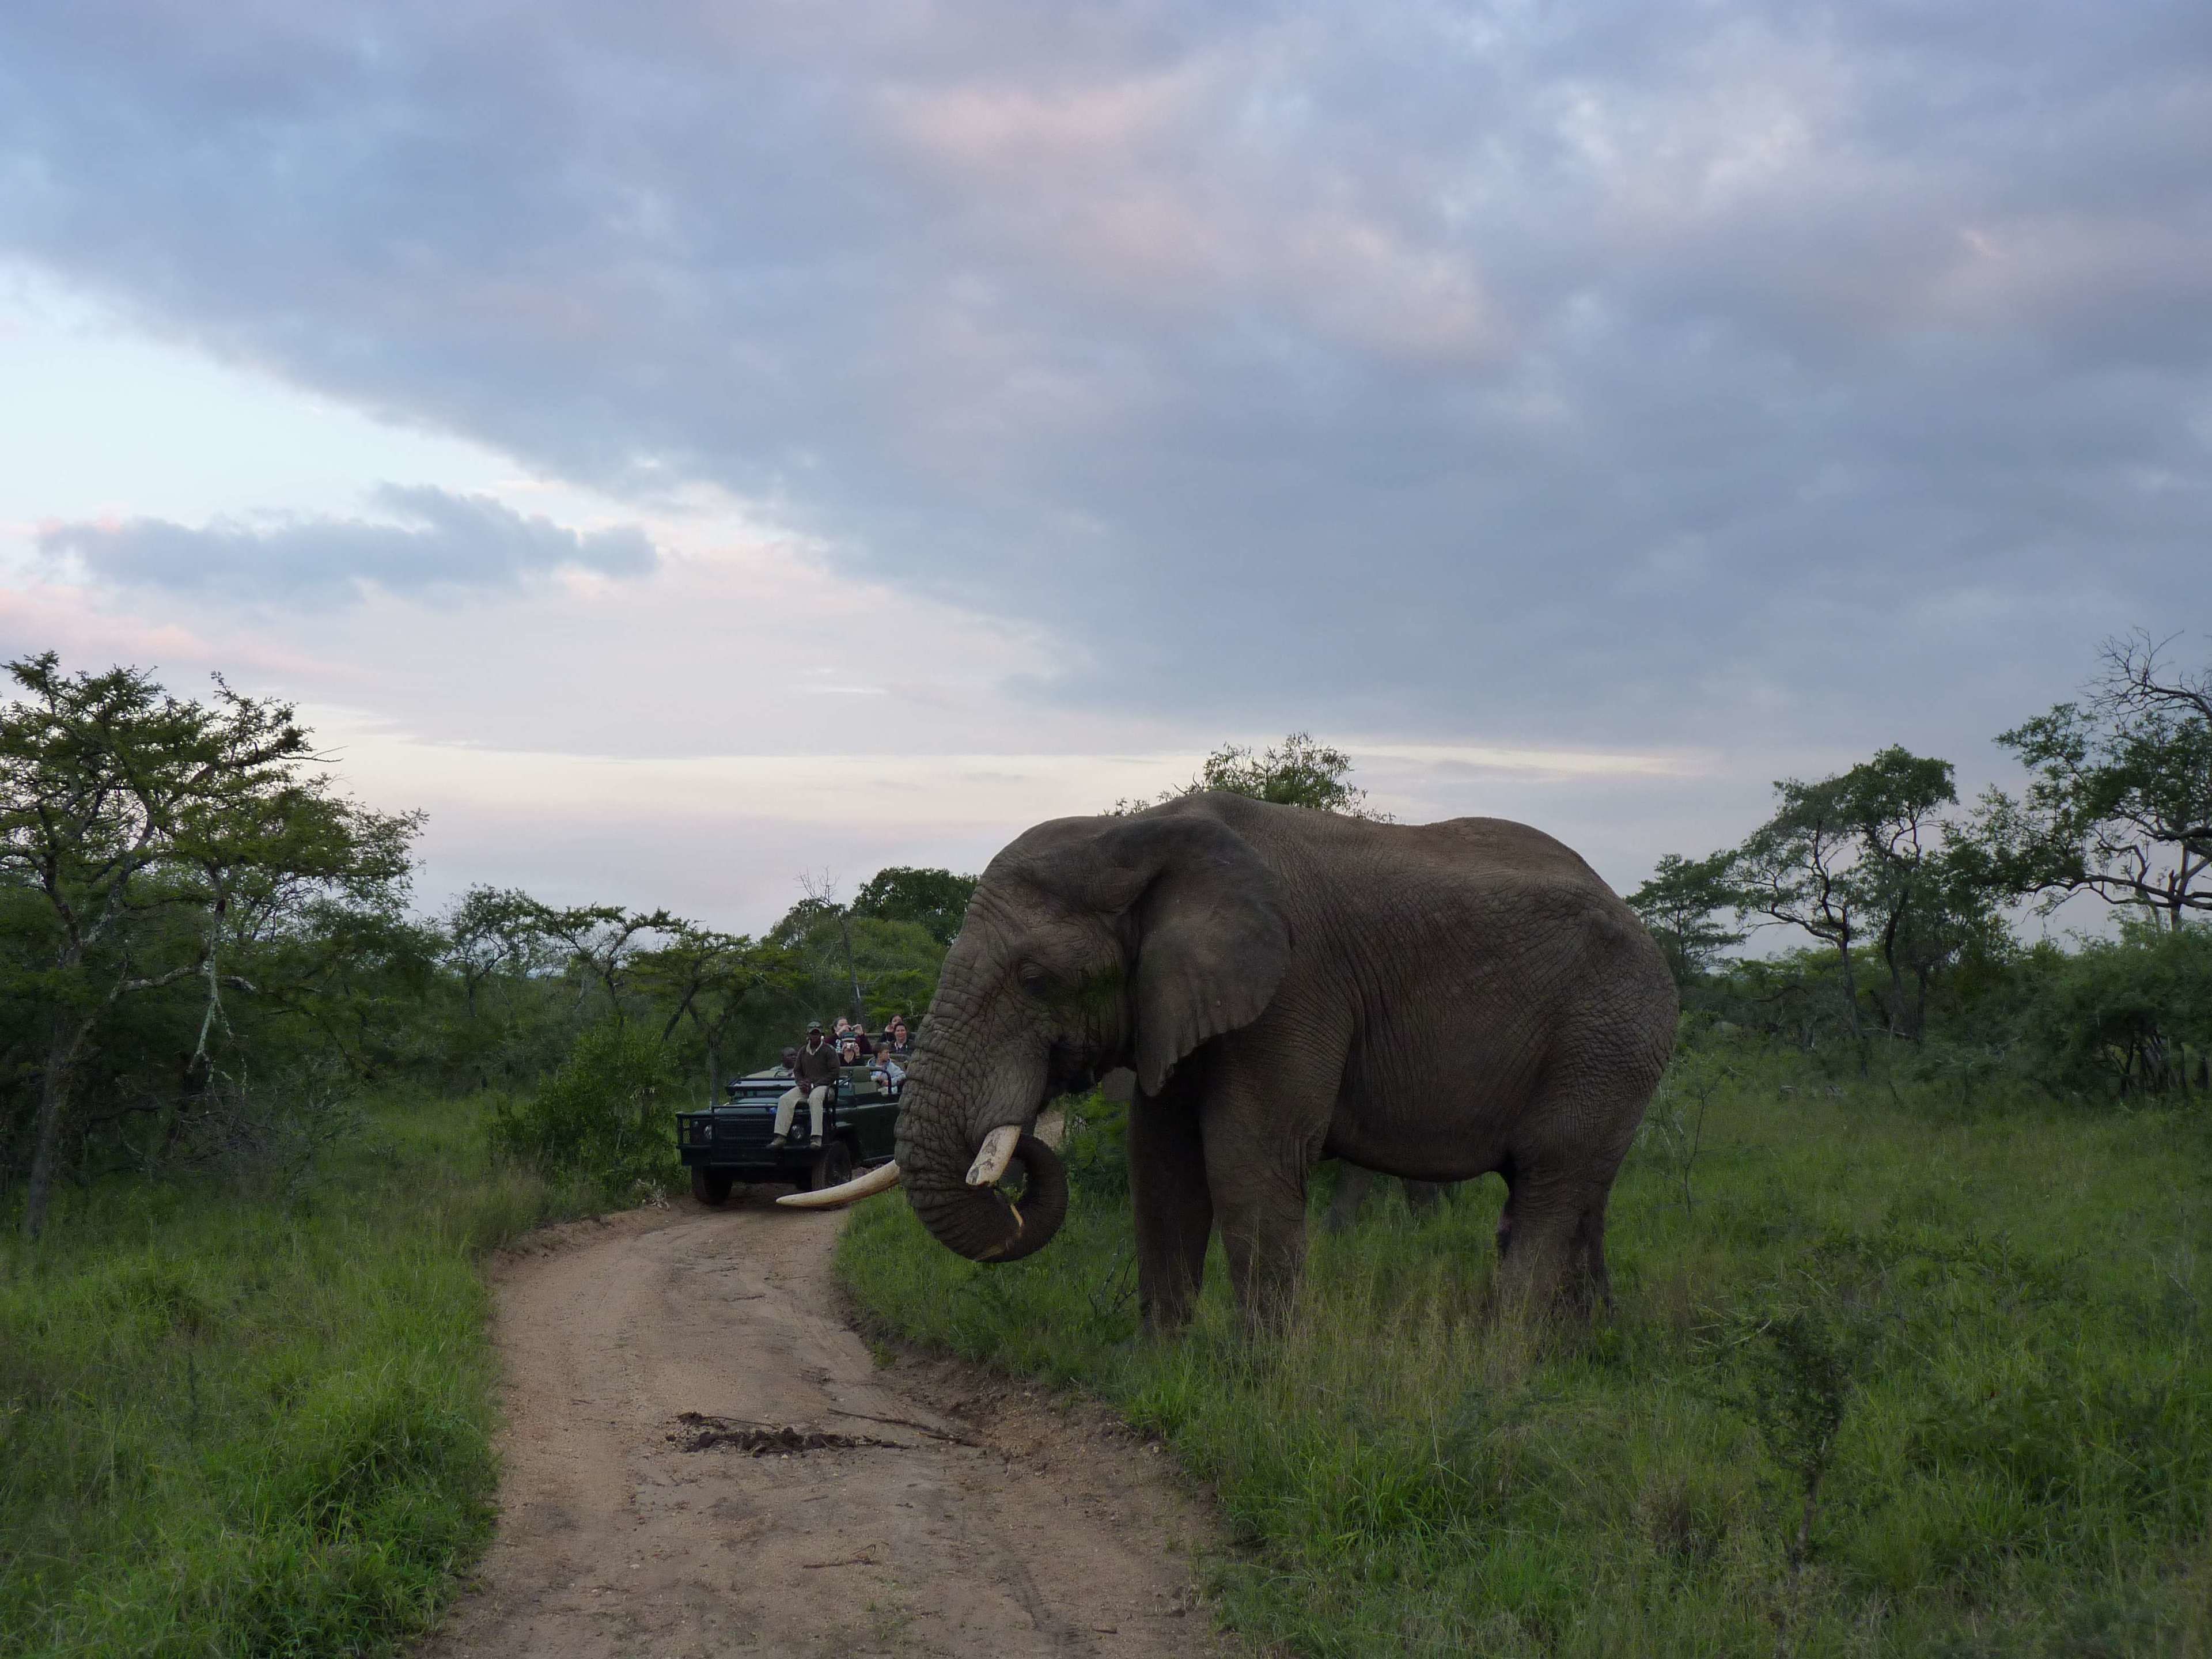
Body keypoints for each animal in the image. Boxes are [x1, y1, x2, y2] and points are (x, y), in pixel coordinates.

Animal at [784, 792, 1678, 1331]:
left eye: (1036, 980)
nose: (1025, 1133)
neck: (1139, 829)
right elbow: (1161, 1164)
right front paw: (1165, 1368)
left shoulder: (1295, 987)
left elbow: (1248, 1158)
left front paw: (1258, 1385)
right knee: (1574, 1192)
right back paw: (1579, 1351)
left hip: (1610, 1031)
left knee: (1551, 1186)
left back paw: (1505, 1364)